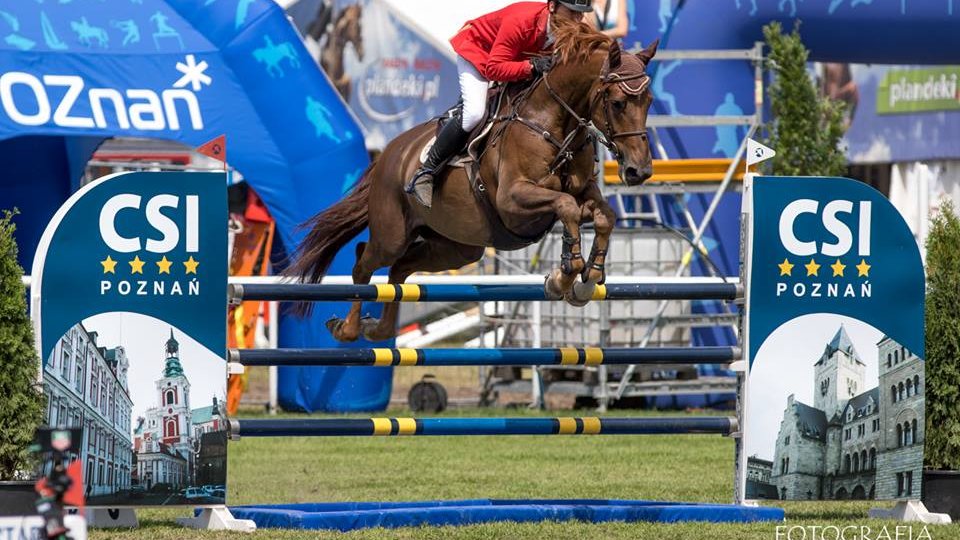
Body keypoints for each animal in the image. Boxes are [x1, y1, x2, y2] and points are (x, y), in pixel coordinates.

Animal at [288, 22, 656, 342]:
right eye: (618, 103)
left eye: (649, 102)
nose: (639, 171)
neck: (551, 123)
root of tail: (388, 155)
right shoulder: (513, 201)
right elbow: (566, 207)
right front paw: (564, 275)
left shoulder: (583, 192)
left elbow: (604, 216)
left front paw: (587, 279)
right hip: (393, 234)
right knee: (365, 261)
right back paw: (348, 329)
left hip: (455, 247)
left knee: (400, 269)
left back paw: (378, 330)